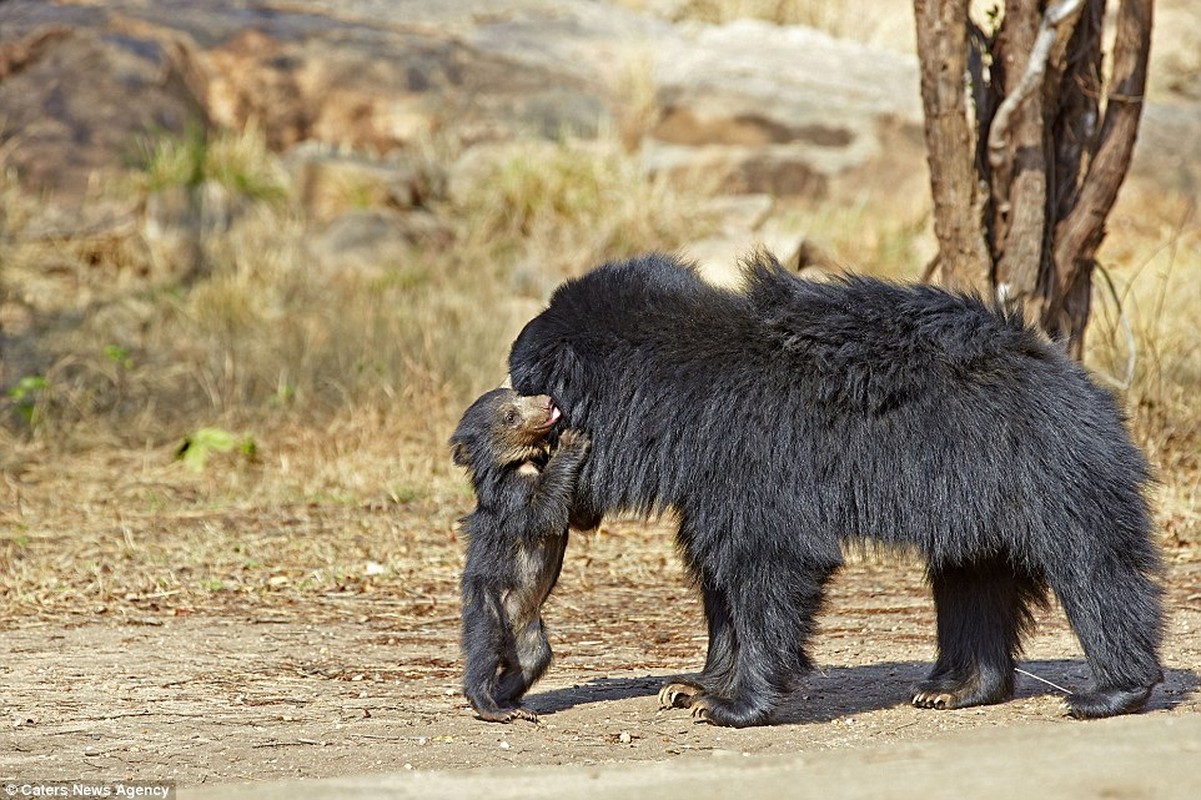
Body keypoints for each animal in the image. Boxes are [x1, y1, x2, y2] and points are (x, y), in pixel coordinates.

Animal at [506, 252, 1162, 725]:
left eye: (527, 391)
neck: (670, 399)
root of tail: (1066, 368)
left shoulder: (752, 458)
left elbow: (769, 559)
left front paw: (729, 706)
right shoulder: (708, 482)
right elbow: (719, 573)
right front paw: (687, 688)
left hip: (1050, 469)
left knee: (1092, 566)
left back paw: (1108, 693)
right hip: (972, 497)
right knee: (972, 578)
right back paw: (953, 691)